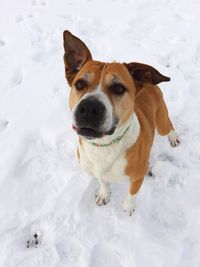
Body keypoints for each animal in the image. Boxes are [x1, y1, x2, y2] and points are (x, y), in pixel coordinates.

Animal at [62, 30, 180, 217]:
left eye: (118, 88)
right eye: (79, 84)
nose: (89, 108)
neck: (104, 146)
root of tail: (148, 81)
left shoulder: (137, 177)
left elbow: (132, 193)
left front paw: (128, 207)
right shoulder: (97, 171)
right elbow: (103, 181)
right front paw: (104, 194)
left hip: (161, 121)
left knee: (168, 125)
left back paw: (173, 137)